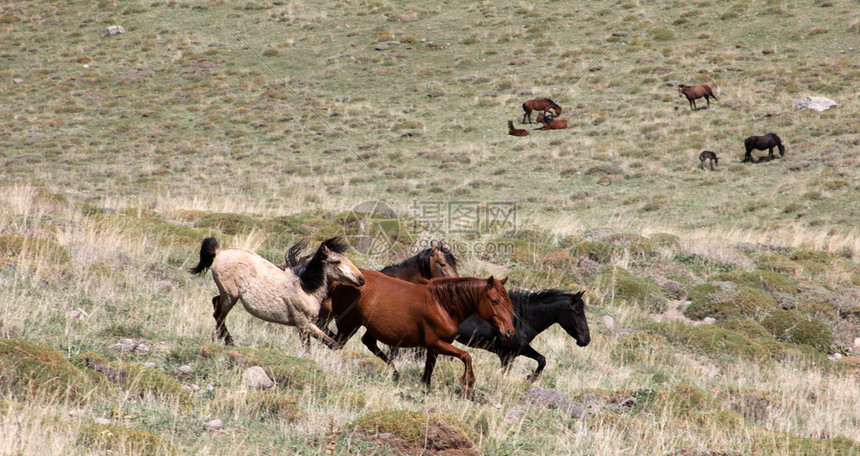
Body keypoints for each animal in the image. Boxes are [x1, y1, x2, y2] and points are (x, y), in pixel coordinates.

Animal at [188, 237, 362, 348]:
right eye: (337, 262)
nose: (361, 279)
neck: (305, 288)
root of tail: (219, 252)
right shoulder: (303, 324)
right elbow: (324, 345)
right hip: (230, 296)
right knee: (219, 314)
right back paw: (228, 341)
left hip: (227, 295)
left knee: (215, 303)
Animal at [330, 268, 516, 394]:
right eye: (494, 301)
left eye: (508, 302)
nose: (509, 331)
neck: (441, 304)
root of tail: (341, 281)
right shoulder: (436, 343)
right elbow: (466, 356)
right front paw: (468, 384)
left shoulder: (435, 347)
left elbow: (428, 370)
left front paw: (426, 388)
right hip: (348, 325)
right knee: (334, 344)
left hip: (367, 328)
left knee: (367, 343)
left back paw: (395, 374)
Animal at [454, 288, 588, 382]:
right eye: (576, 312)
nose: (586, 339)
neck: (519, 319)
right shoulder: (506, 355)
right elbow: (505, 374)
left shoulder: (517, 350)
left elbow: (542, 359)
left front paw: (530, 377)